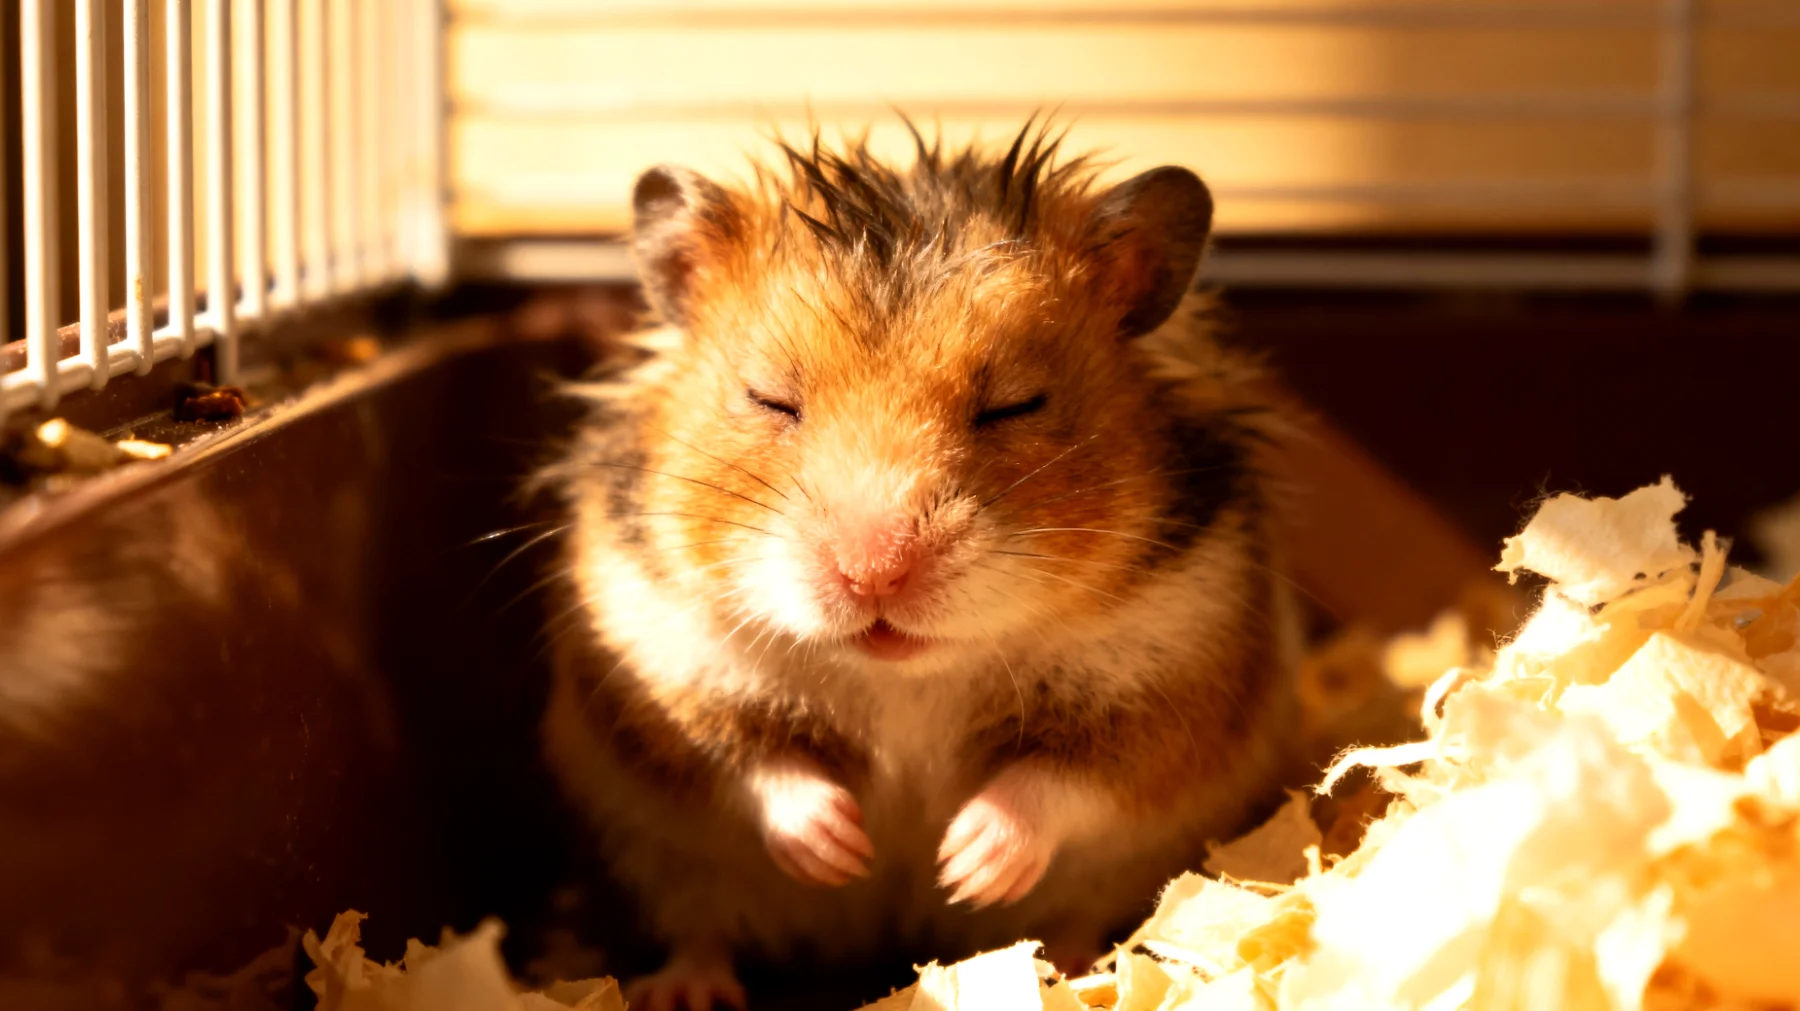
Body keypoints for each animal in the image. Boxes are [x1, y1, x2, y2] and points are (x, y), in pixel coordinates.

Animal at [539, 121, 1301, 1011]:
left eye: (1014, 405)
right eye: (770, 399)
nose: (873, 573)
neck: (905, 676)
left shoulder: (1174, 685)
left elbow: (1066, 781)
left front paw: (962, 864)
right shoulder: (659, 676)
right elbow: (752, 765)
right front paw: (842, 849)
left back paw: (1077, 973)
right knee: (701, 928)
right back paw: (685, 991)